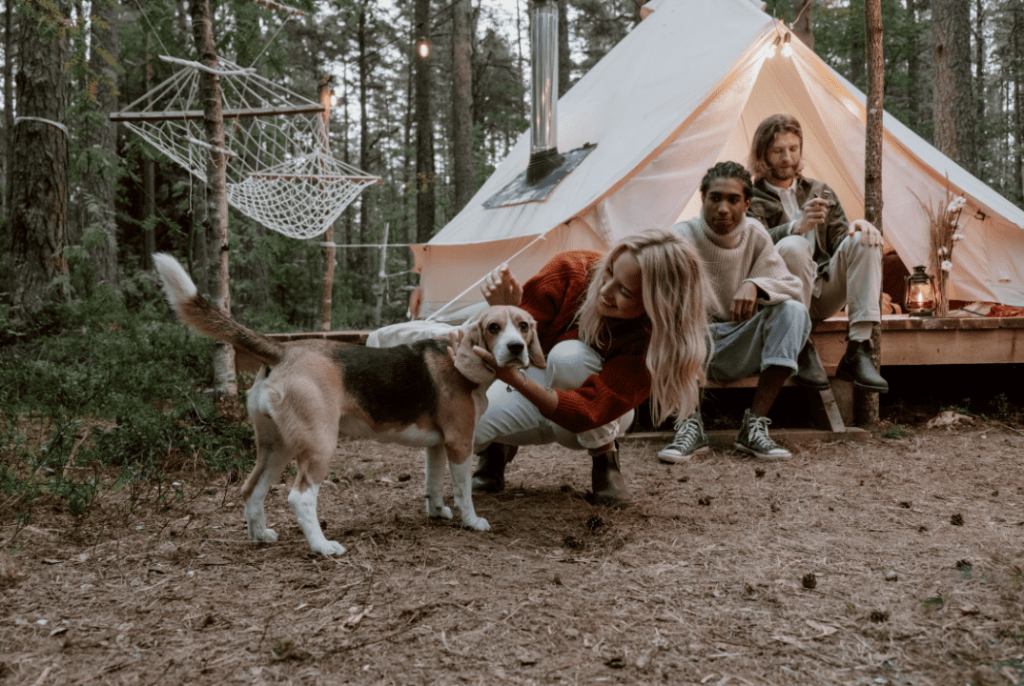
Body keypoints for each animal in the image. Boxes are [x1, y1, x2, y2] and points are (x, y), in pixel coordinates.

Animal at [150, 254, 544, 556]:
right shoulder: (460, 443)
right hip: (319, 444)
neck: (456, 354)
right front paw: (472, 521)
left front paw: (437, 512)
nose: (515, 348)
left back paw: (260, 536)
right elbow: (463, 490)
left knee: (251, 489)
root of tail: (284, 350)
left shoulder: (437, 445)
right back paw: (322, 547)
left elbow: (433, 483)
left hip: (276, 446)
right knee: (300, 497)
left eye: (523, 326)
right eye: (493, 328)